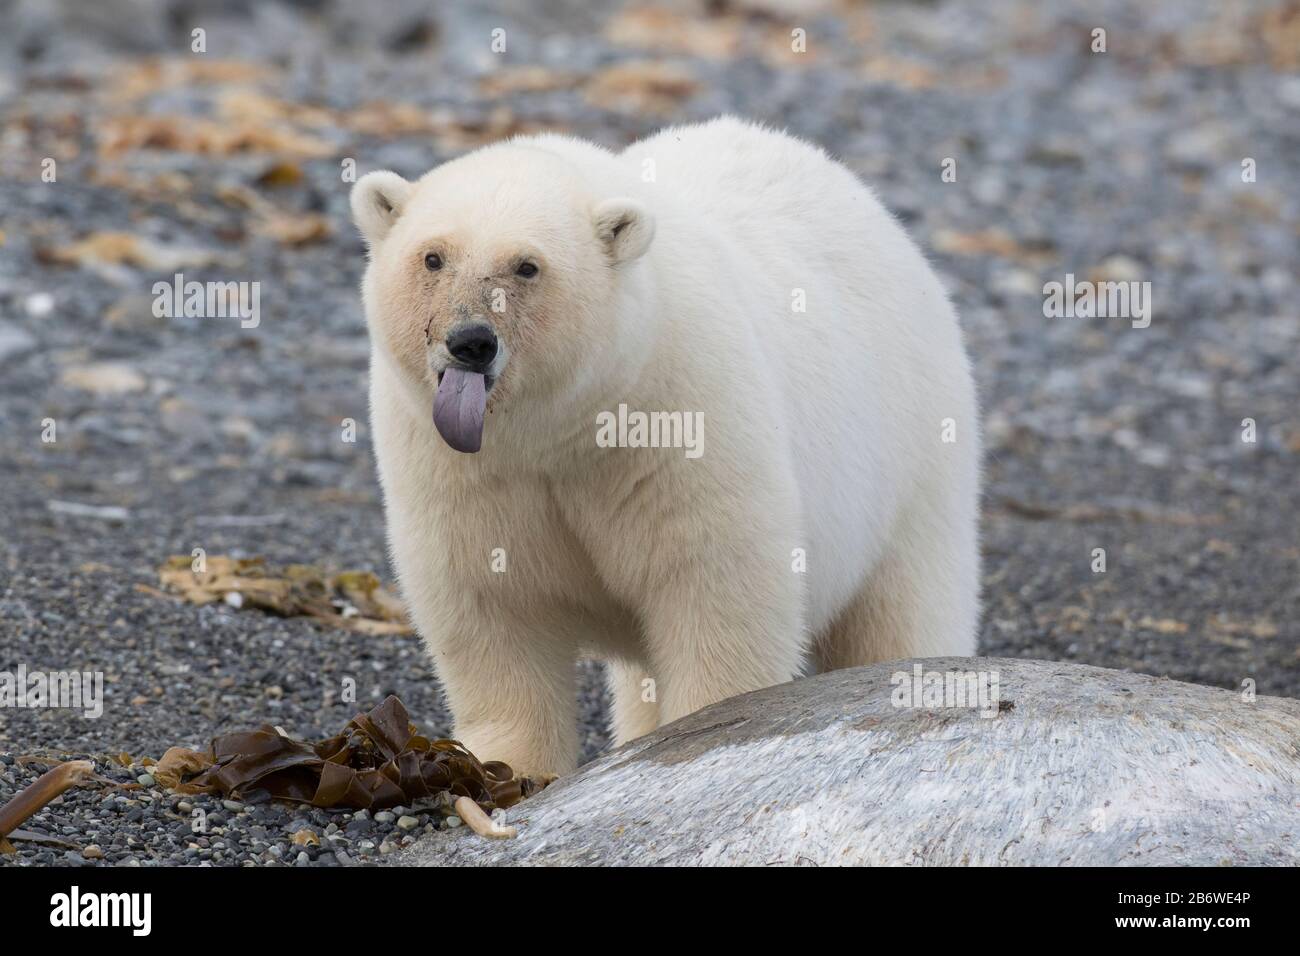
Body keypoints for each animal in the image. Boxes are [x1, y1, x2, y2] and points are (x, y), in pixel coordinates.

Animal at [351, 117, 980, 776]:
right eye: (433, 257)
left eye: (527, 266)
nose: (470, 341)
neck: (561, 428)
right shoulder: (462, 464)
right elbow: (489, 599)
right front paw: (503, 770)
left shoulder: (678, 410)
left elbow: (715, 579)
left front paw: (705, 730)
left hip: (916, 447)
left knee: (904, 604)